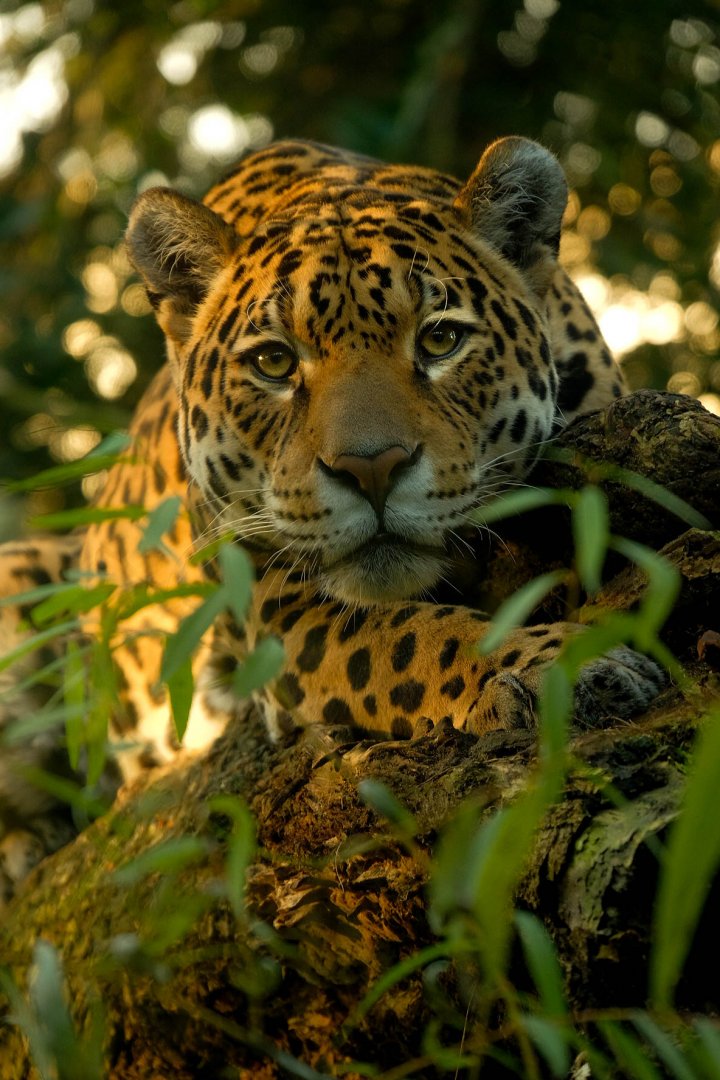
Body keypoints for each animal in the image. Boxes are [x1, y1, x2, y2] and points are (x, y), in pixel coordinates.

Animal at [0, 136, 665, 897]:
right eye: (274, 361)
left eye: (440, 340)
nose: (371, 469)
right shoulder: (280, 613)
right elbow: (419, 636)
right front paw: (564, 665)